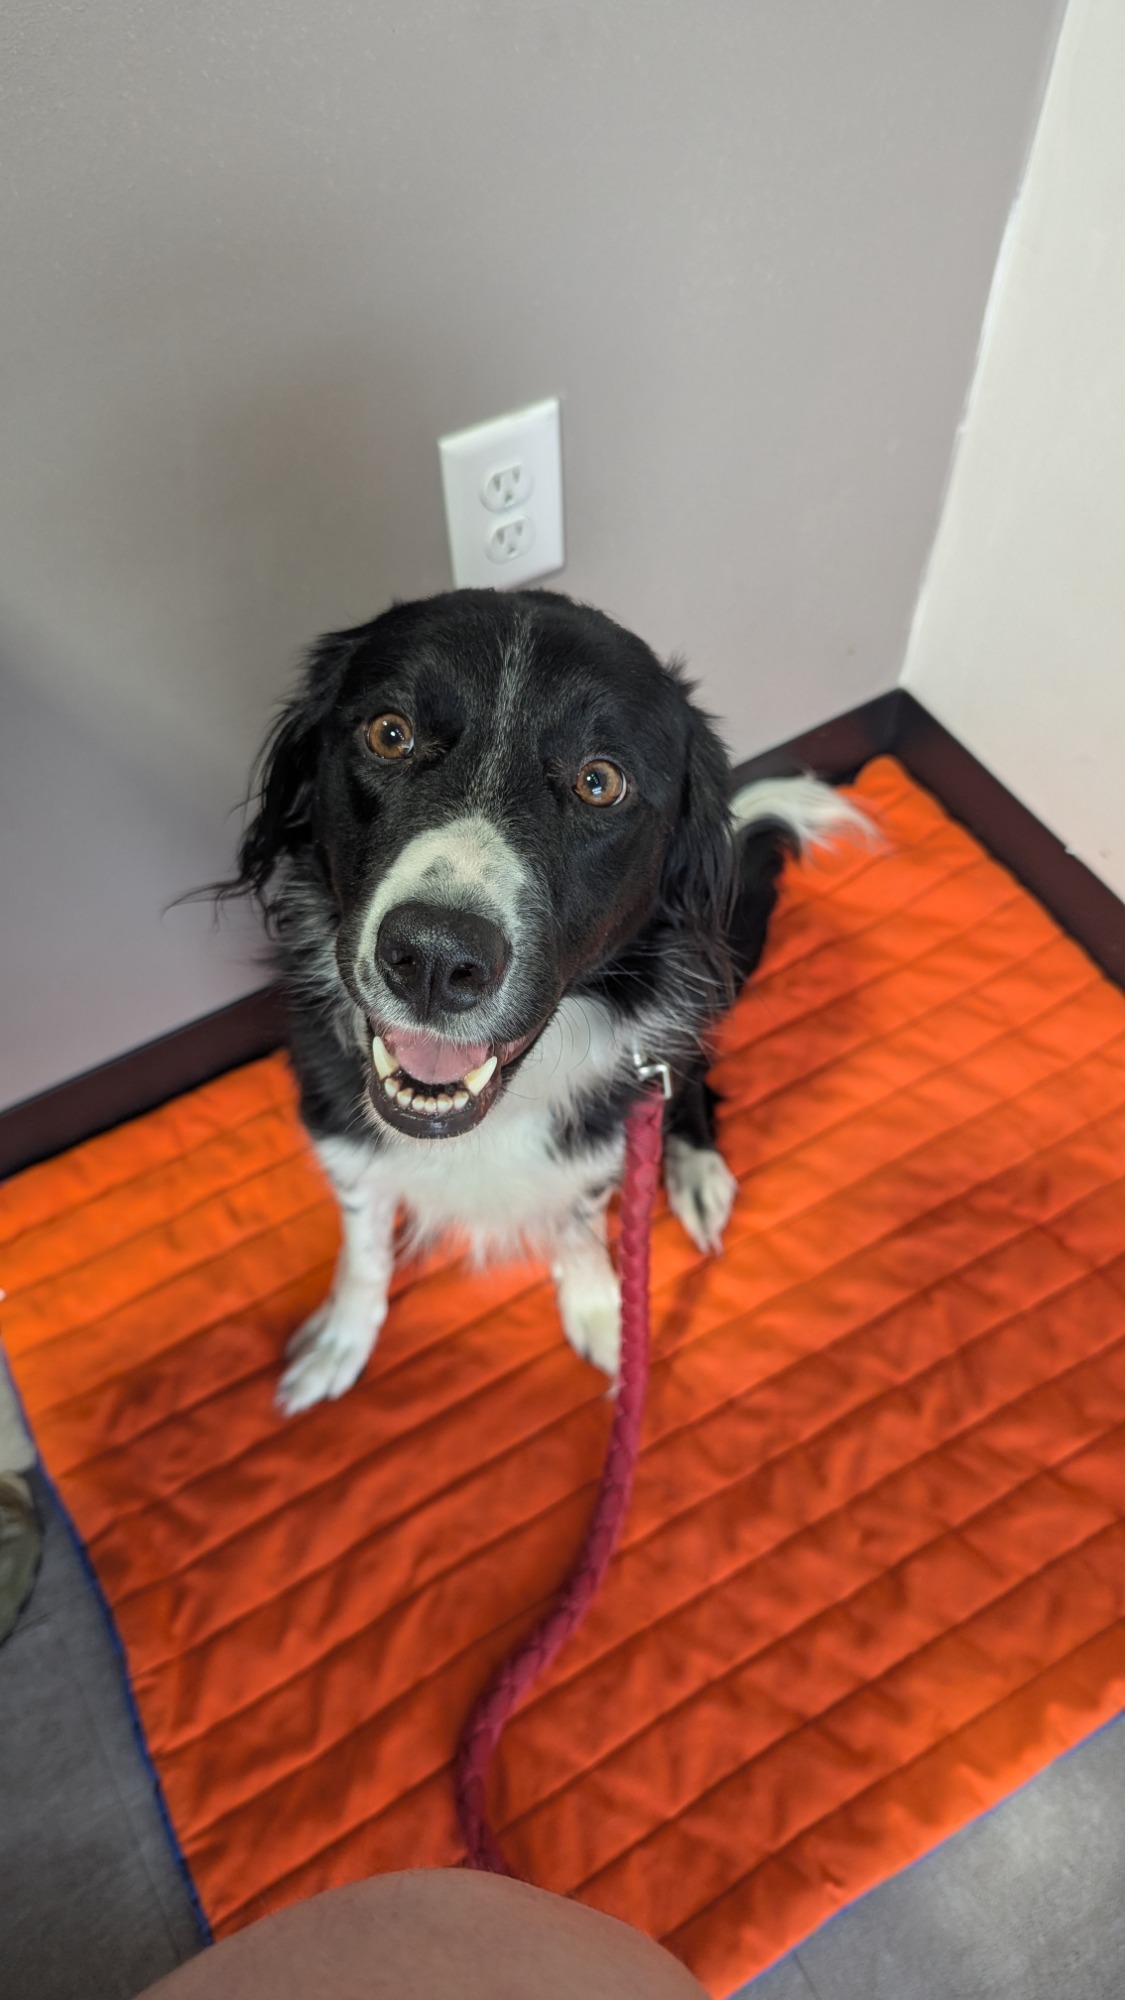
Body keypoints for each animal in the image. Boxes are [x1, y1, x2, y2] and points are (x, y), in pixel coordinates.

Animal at [227, 588, 867, 1414]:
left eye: (599, 781)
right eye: (389, 734)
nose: (435, 958)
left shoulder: (601, 1131)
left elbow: (579, 1221)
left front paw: (602, 1313)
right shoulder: (338, 1124)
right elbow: (365, 1241)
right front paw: (343, 1336)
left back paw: (694, 1169)